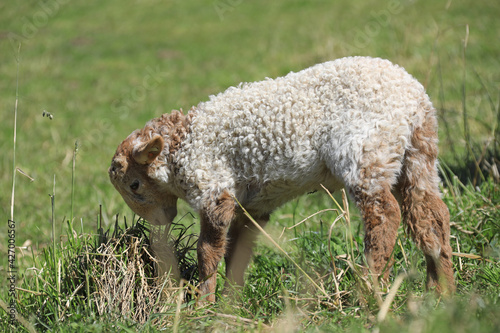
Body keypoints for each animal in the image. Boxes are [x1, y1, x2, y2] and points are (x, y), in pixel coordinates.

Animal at [109, 55, 458, 300]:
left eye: (135, 185)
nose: (160, 221)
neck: (181, 144)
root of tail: (413, 97)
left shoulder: (212, 187)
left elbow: (208, 252)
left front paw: (203, 304)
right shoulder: (252, 206)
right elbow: (238, 251)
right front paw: (230, 304)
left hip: (366, 150)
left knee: (385, 215)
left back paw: (370, 289)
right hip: (417, 153)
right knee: (430, 214)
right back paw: (441, 291)